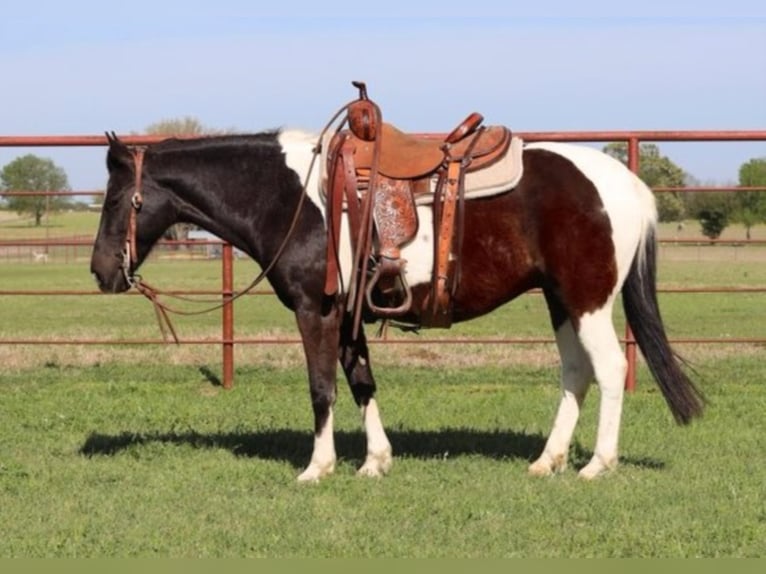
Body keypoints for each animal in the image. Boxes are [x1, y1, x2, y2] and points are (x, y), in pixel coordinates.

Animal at [90, 125, 708, 482]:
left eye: (116, 199)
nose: (100, 271)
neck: (294, 195)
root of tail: (627, 184)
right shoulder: (349, 317)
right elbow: (361, 380)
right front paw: (375, 461)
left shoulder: (315, 311)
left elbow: (322, 388)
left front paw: (317, 468)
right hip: (561, 301)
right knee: (576, 373)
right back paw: (546, 461)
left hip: (587, 301)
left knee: (610, 367)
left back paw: (598, 464)